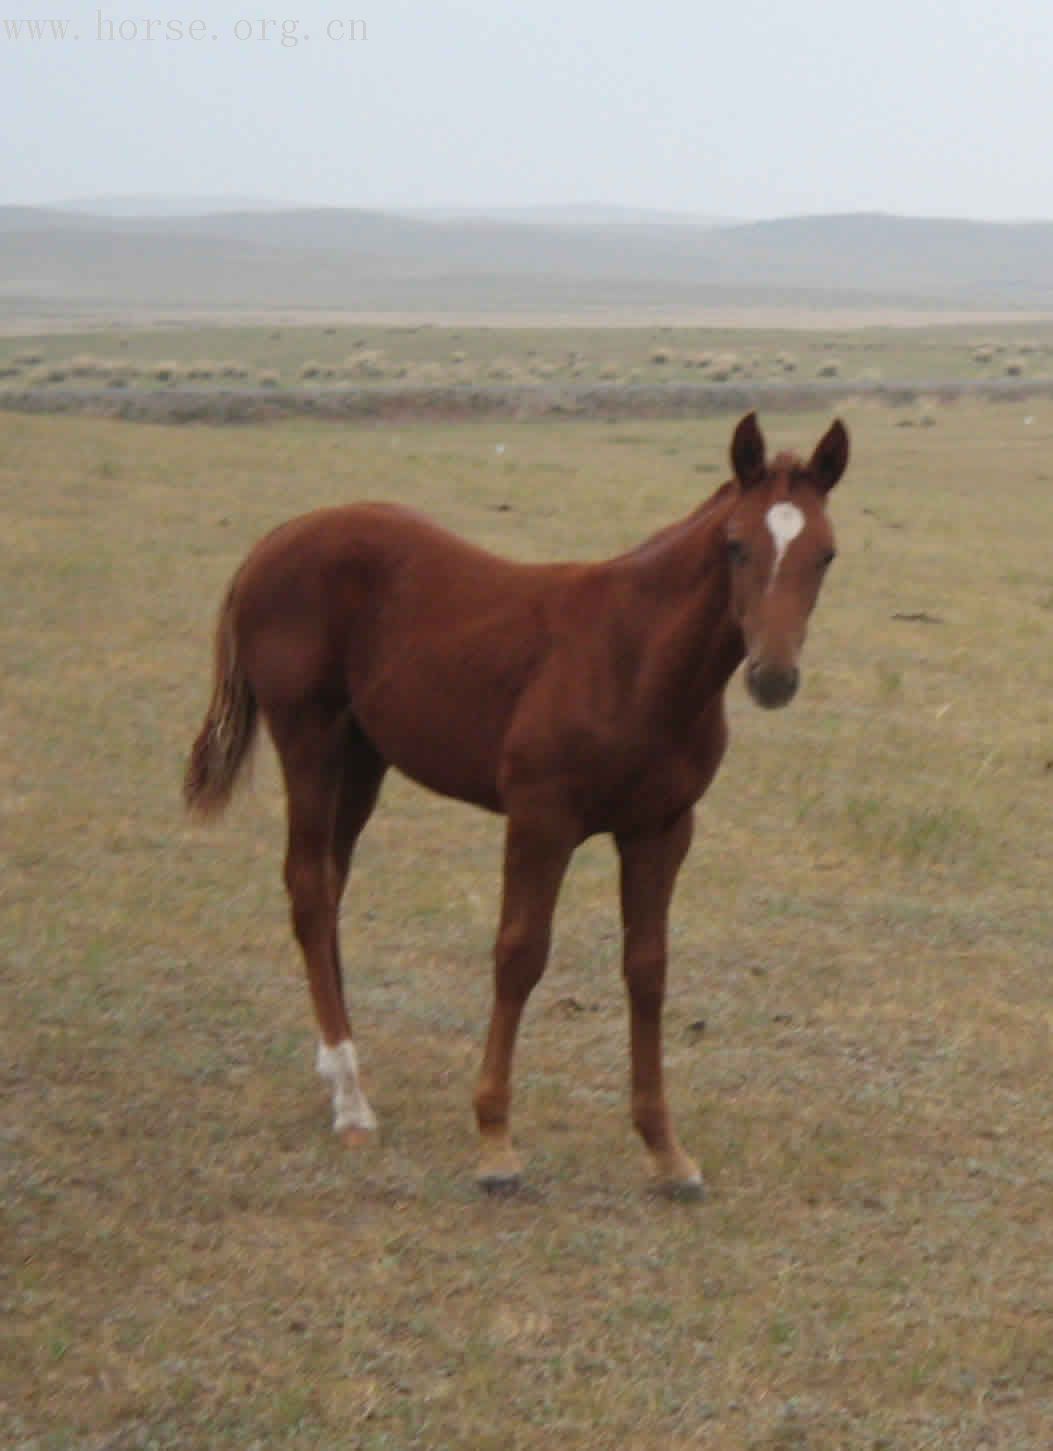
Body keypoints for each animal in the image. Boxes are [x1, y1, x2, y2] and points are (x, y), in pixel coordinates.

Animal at [183, 414, 847, 1195]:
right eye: (736, 544)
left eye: (826, 554)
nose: (773, 676)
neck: (634, 660)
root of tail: (277, 537)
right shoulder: (540, 818)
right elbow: (519, 953)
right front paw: (495, 1142)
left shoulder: (661, 829)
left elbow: (647, 968)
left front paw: (665, 1150)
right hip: (308, 738)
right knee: (311, 886)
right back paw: (350, 1097)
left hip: (364, 757)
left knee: (328, 883)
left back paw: (336, 1065)